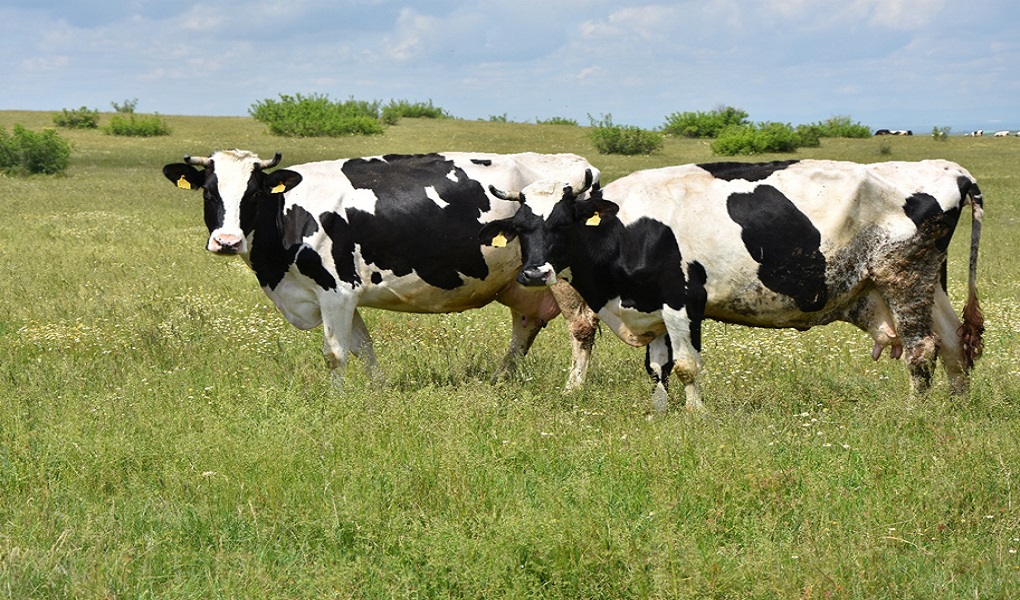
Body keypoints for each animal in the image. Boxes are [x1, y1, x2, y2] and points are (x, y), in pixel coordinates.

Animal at [162, 150, 599, 393]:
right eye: (209, 192)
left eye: (253, 192)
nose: (227, 241)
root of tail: (579, 165)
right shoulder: (344, 296)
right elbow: (363, 347)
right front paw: (377, 389)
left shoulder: (335, 289)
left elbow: (335, 352)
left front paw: (337, 400)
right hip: (519, 281)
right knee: (524, 327)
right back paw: (499, 380)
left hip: (561, 276)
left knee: (581, 326)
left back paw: (572, 389)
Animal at [481, 158, 983, 412]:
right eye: (522, 228)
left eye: (563, 223)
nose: (534, 274)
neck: (627, 226)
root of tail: (949, 169)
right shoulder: (652, 307)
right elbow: (658, 368)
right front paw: (661, 412)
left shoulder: (682, 301)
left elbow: (686, 367)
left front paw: (696, 416)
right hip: (924, 284)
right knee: (953, 342)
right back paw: (956, 406)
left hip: (904, 279)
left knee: (922, 350)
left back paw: (914, 412)